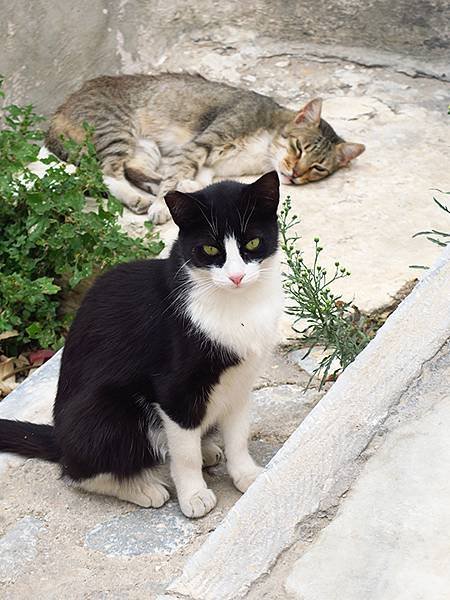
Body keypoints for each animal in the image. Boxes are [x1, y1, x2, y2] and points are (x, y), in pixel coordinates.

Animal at [0, 171, 282, 516]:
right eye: (209, 250)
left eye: (252, 243)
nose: (237, 277)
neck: (237, 306)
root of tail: (60, 436)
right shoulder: (173, 388)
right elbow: (184, 453)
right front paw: (193, 495)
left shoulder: (240, 382)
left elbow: (238, 435)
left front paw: (246, 475)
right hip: (108, 409)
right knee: (76, 472)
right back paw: (141, 487)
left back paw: (205, 449)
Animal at [44, 72, 366, 223]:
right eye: (299, 147)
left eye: (318, 168)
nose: (296, 174)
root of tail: (56, 113)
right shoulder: (200, 145)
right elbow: (175, 178)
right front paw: (163, 205)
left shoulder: (208, 166)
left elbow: (189, 179)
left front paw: (185, 191)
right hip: (116, 130)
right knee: (106, 172)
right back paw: (138, 199)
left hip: (146, 147)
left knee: (133, 169)